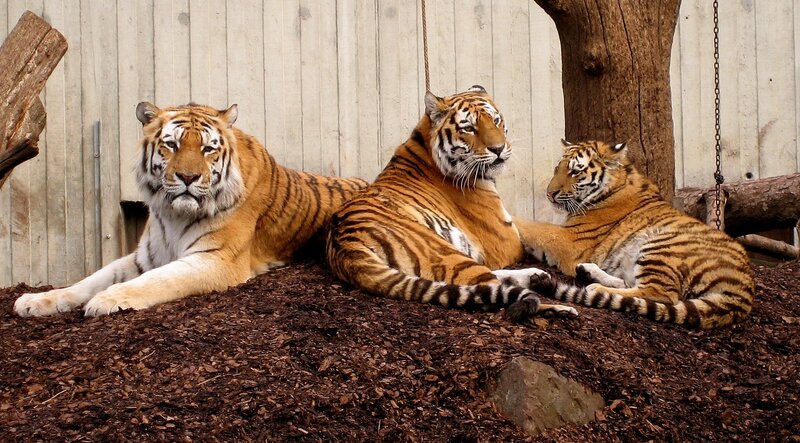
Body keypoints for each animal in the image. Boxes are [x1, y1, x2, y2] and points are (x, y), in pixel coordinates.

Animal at [14, 102, 368, 317]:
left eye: (208, 148)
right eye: (171, 144)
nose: (187, 177)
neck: (173, 214)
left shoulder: (215, 259)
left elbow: (156, 281)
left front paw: (107, 300)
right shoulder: (145, 257)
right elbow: (90, 279)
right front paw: (35, 301)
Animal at [326, 86, 577, 321]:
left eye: (495, 120)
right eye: (469, 128)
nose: (498, 149)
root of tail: (345, 246)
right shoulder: (507, 241)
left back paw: (537, 277)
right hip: (446, 254)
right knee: (491, 289)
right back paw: (558, 307)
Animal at [514, 139, 755, 329]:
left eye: (575, 171)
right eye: (557, 168)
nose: (549, 194)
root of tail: (745, 286)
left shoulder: (570, 240)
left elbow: (529, 225)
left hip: (662, 245)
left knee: (661, 294)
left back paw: (594, 286)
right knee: (631, 284)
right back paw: (588, 272)